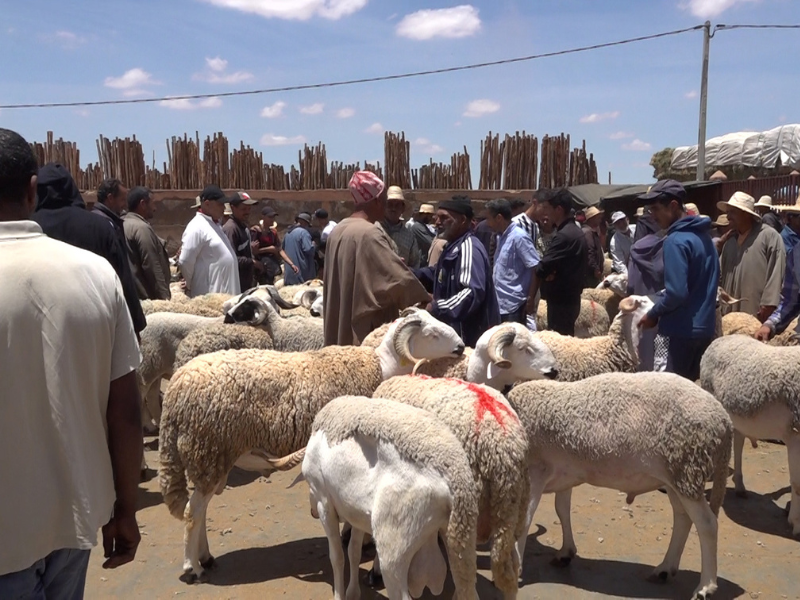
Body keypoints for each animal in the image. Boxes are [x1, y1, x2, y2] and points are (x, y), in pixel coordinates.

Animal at [159, 310, 466, 580]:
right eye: (432, 333)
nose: (461, 347)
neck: (381, 366)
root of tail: (175, 389)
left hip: (209, 455)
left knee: (199, 510)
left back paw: (205, 557)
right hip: (208, 450)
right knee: (192, 512)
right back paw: (192, 567)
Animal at [300, 396, 476, 600]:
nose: (311, 512)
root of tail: (456, 477)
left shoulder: (324, 502)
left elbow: (337, 557)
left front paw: (339, 595)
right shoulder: (356, 512)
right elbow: (354, 552)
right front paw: (353, 592)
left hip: (393, 548)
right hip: (460, 543)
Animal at [506, 372, 732, 596]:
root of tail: (723, 418)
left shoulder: (535, 471)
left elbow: (525, 520)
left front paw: (516, 569)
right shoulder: (564, 473)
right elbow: (562, 509)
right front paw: (565, 553)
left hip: (687, 468)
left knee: (707, 524)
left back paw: (705, 587)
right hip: (676, 477)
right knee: (683, 518)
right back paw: (665, 569)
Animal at [700, 336, 800, 536]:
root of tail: (721, 338)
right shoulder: (794, 436)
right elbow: (797, 484)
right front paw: (796, 522)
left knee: (738, 442)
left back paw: (739, 486)